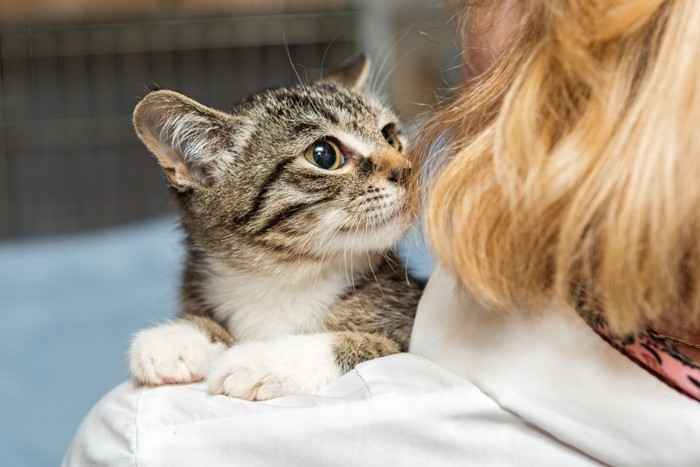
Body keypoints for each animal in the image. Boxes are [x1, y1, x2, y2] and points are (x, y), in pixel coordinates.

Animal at [129, 53, 424, 400]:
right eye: (323, 155)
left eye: (390, 136)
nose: (408, 169)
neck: (285, 278)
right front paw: (182, 338)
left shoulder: (407, 323)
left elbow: (373, 347)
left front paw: (262, 360)